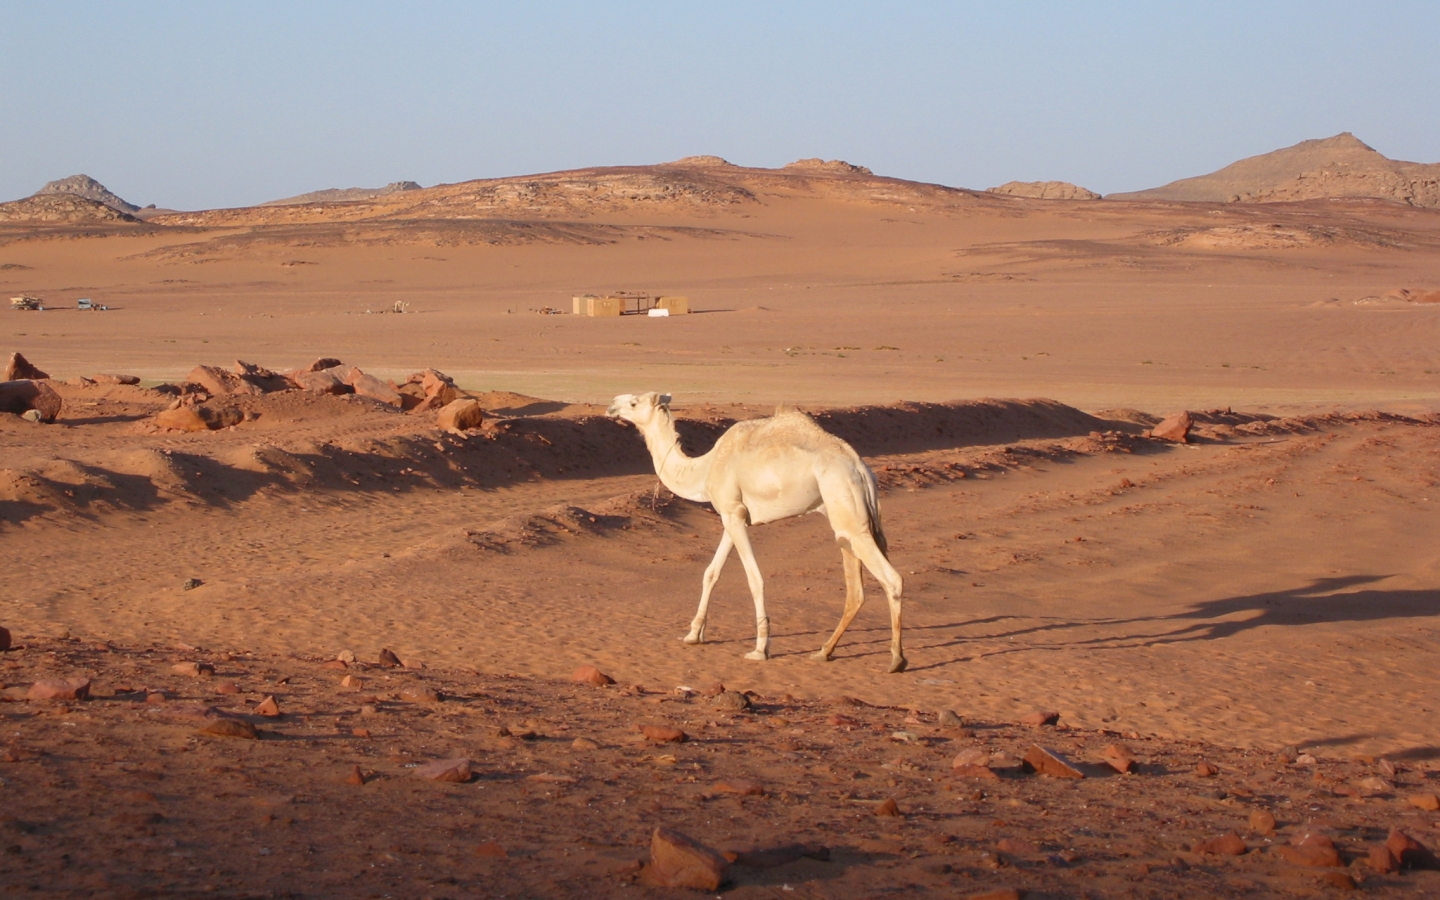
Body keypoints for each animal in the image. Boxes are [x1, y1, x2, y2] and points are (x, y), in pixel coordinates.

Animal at [606, 392, 906, 673]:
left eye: (634, 403)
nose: (611, 406)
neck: (706, 468)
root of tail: (860, 468)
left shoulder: (733, 513)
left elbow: (754, 578)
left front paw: (760, 648)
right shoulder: (733, 516)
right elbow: (711, 573)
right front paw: (693, 634)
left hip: (845, 503)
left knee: (891, 579)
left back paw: (896, 659)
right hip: (844, 516)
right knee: (855, 589)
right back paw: (824, 651)